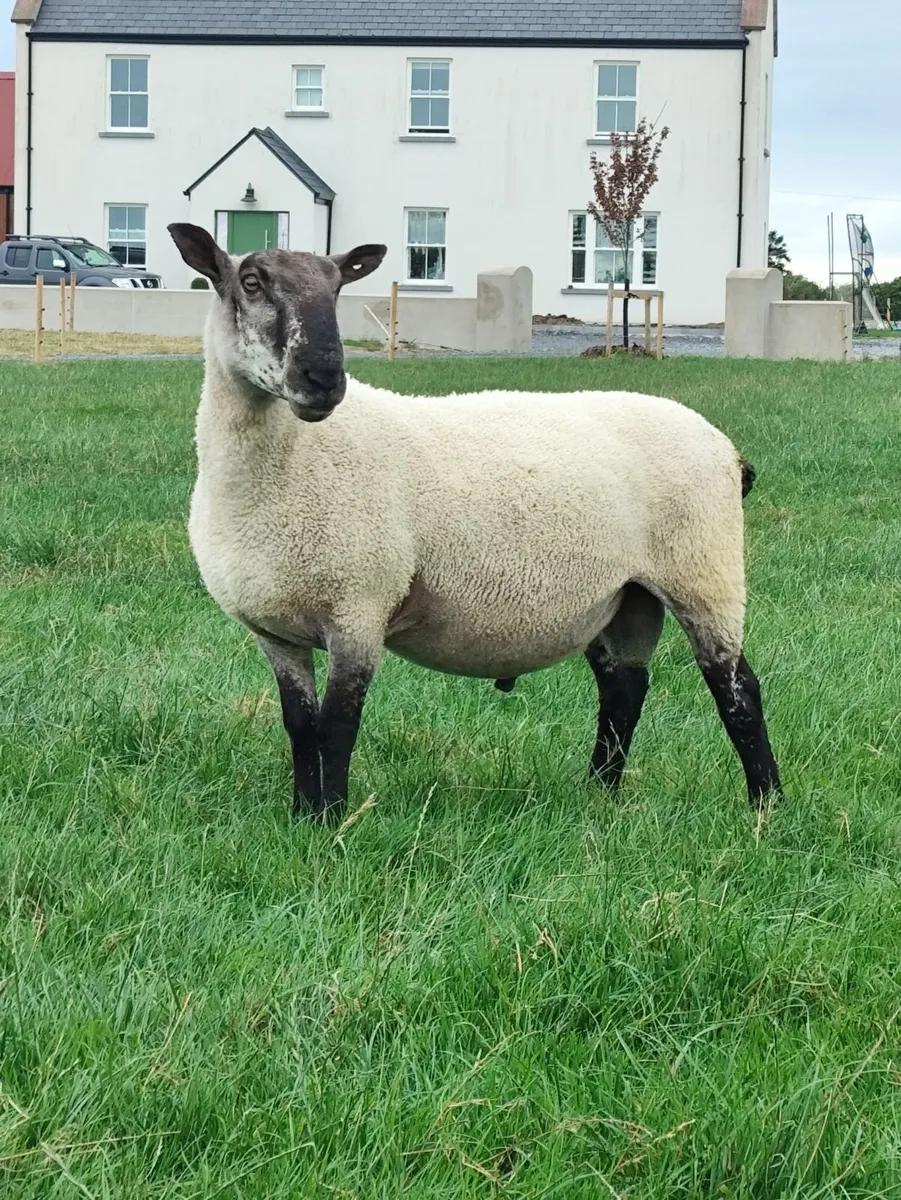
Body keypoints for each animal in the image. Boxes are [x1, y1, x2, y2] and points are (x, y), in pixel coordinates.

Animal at [168, 222, 782, 824]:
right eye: (250, 282)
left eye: (337, 287)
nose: (324, 377)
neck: (293, 461)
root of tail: (728, 451)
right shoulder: (274, 632)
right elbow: (300, 727)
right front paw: (302, 817)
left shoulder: (359, 609)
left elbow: (337, 728)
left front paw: (334, 824)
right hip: (629, 594)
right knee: (623, 690)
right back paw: (599, 794)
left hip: (704, 569)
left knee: (737, 689)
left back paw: (765, 807)